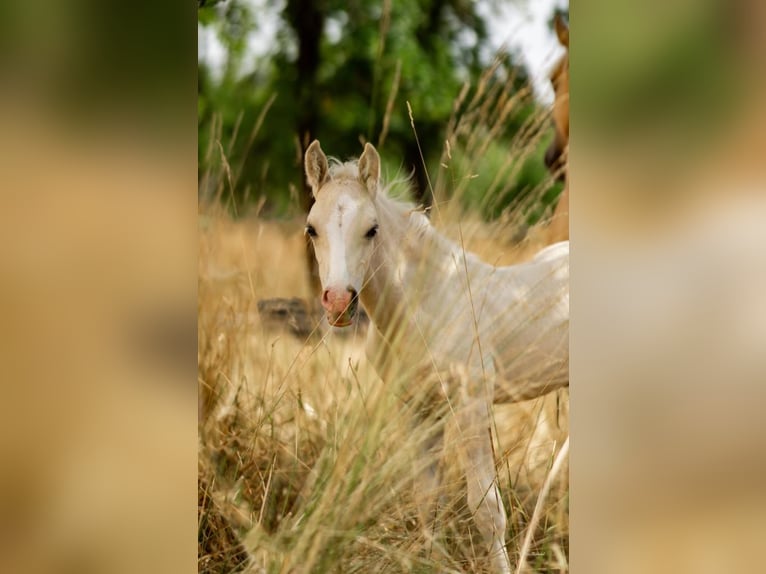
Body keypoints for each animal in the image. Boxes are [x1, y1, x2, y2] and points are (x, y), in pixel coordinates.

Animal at [304, 141, 568, 574]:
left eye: (372, 229)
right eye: (312, 228)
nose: (340, 302)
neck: (428, 302)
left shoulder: (472, 403)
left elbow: (486, 509)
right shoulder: (418, 409)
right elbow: (426, 499)